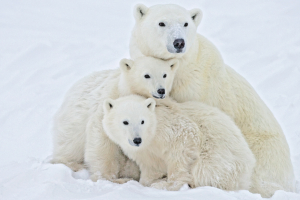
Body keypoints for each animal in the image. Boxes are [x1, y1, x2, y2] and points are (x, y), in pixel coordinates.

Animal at [51, 55, 178, 183]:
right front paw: (108, 178)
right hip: (72, 125)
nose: (161, 90)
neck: (125, 91)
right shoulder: (109, 104)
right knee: (69, 146)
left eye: (165, 75)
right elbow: (102, 139)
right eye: (146, 75)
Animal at [101, 94, 255, 191]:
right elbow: (150, 167)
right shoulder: (145, 152)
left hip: (218, 158)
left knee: (203, 170)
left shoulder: (170, 128)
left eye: (142, 121)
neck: (151, 135)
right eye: (125, 121)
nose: (137, 140)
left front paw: (166, 184)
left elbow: (183, 146)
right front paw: (145, 181)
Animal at [131, 3, 296, 197]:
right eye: (161, 23)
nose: (179, 42)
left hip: (265, 153)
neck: (180, 71)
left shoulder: (199, 88)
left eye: (185, 23)